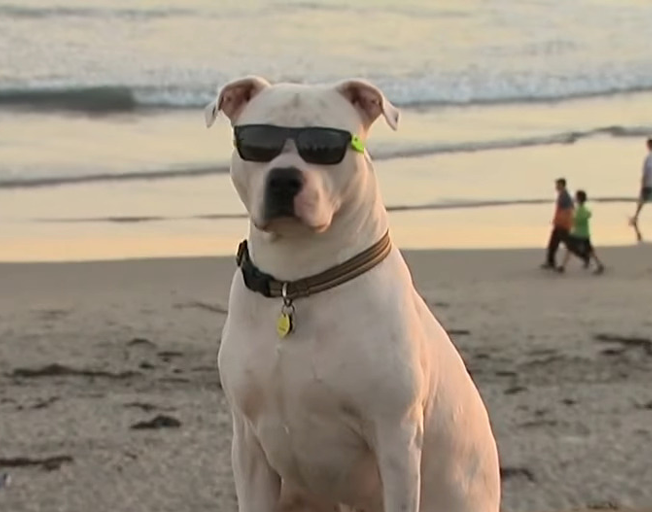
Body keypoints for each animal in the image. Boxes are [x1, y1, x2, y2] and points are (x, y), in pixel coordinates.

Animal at [206, 76, 502, 512]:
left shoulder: (395, 439)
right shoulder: (248, 443)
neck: (299, 282)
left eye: (325, 147)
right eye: (257, 144)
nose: (284, 178)